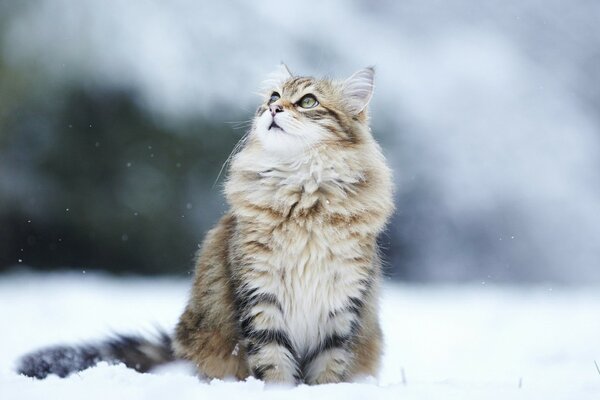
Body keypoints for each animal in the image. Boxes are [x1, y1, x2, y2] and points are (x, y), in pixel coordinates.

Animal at [15, 65, 394, 384]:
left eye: (308, 101)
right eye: (273, 97)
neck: (303, 197)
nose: (274, 109)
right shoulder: (260, 294)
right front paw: (279, 390)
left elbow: (329, 367)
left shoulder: (342, 302)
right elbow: (273, 363)